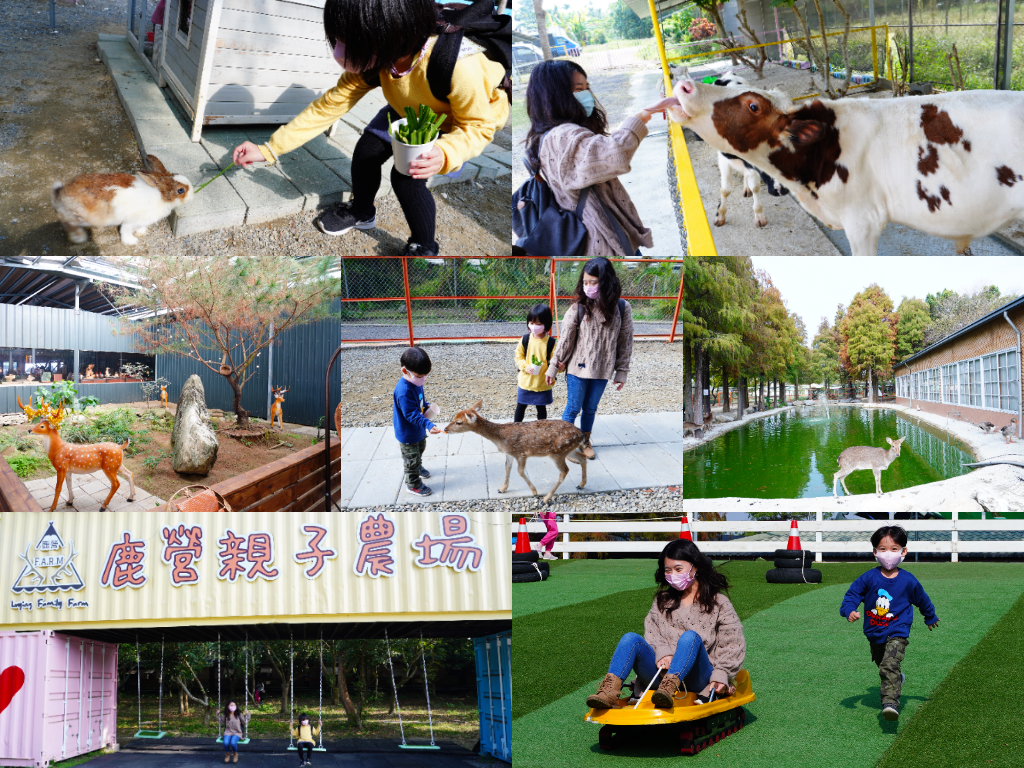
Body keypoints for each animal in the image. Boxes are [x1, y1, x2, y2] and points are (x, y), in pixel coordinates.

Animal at [50, 156, 192, 249]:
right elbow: (126, 231)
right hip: (79, 216)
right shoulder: (130, 220)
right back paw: (79, 237)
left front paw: (141, 232)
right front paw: (131, 241)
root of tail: (61, 194)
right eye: (180, 190)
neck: (160, 195)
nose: (192, 195)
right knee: (65, 221)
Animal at [440, 403, 585, 505]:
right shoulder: (509, 453)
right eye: (454, 417)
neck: (500, 438)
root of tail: (581, 434)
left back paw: (546, 499)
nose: (445, 429)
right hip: (569, 449)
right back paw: (581, 484)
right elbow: (507, 468)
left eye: (458, 422)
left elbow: (520, 471)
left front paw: (534, 491)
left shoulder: (521, 453)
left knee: (565, 471)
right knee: (582, 458)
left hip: (557, 452)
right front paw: (502, 488)